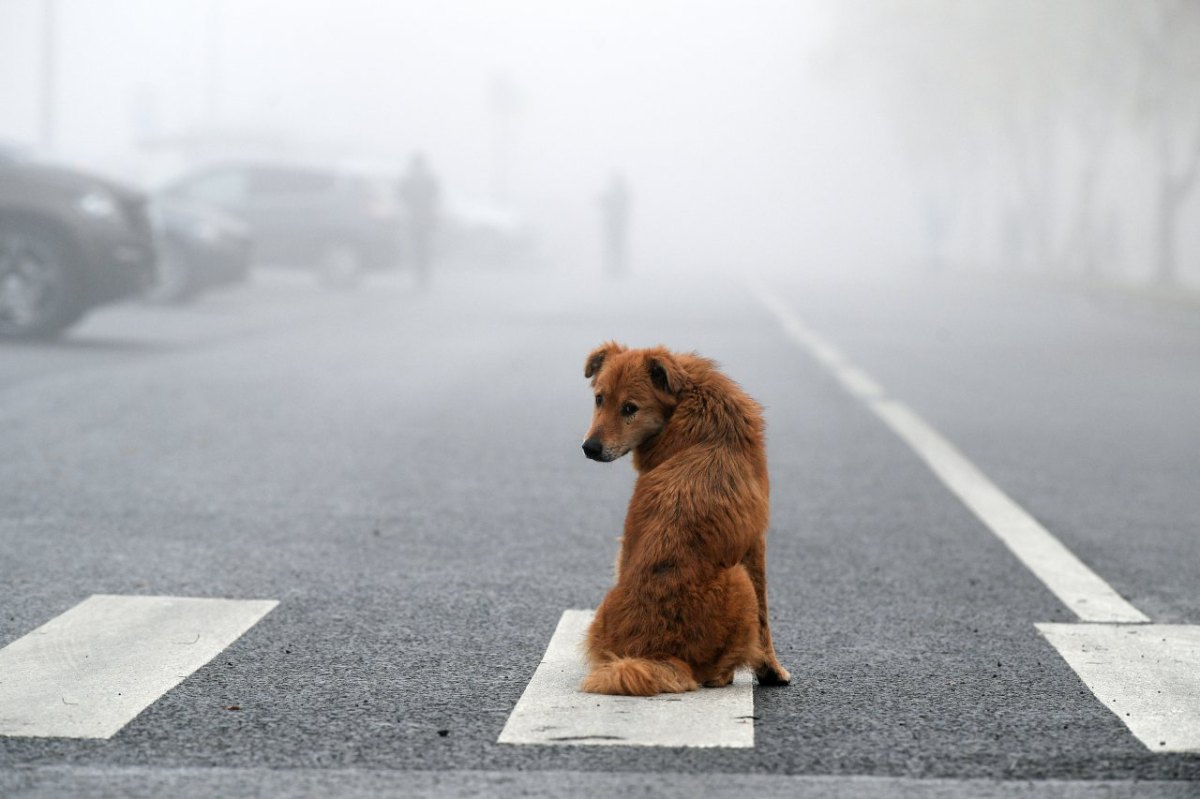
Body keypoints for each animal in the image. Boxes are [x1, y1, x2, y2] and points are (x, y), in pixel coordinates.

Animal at [578, 340, 792, 691]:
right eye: (599, 399)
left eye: (630, 408)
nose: (590, 448)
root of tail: (658, 652)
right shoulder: (756, 542)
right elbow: (765, 619)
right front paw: (771, 671)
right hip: (739, 580)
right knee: (715, 673)